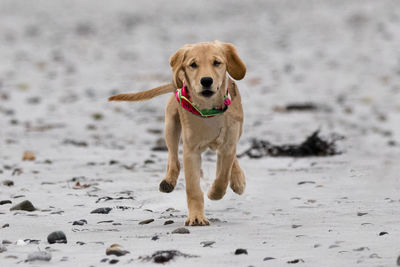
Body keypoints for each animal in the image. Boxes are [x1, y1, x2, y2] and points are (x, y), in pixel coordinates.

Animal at [110, 41, 247, 226]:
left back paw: (238, 180)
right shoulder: (191, 150)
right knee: (173, 159)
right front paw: (196, 217)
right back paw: (168, 182)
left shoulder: (228, 145)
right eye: (193, 64)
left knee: (231, 161)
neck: (208, 110)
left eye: (217, 63)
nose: (206, 80)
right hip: (171, 125)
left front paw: (215, 193)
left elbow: (223, 176)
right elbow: (193, 187)